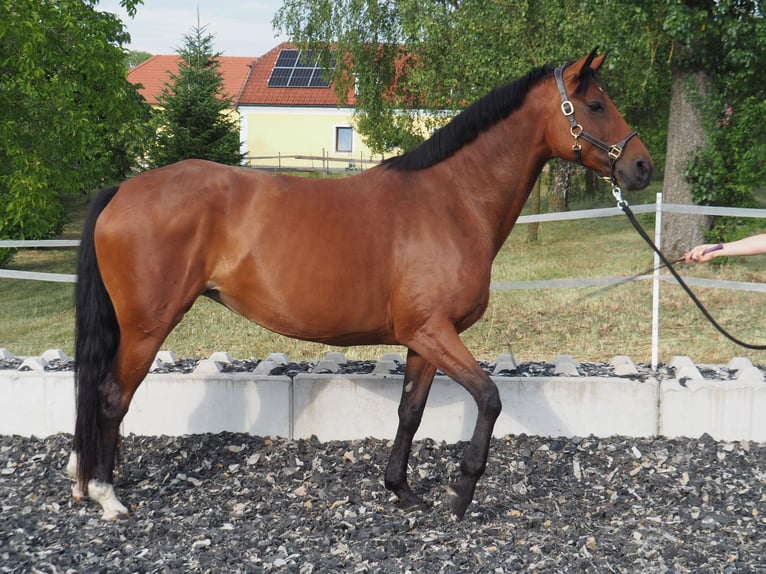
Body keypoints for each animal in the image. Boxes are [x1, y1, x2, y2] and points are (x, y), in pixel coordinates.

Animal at [69, 49, 653, 520]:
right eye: (595, 105)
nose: (642, 166)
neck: (452, 200)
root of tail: (122, 190)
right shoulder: (436, 332)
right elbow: (489, 399)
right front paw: (460, 491)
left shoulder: (423, 338)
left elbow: (410, 413)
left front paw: (402, 490)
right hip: (148, 327)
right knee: (112, 396)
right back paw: (106, 495)